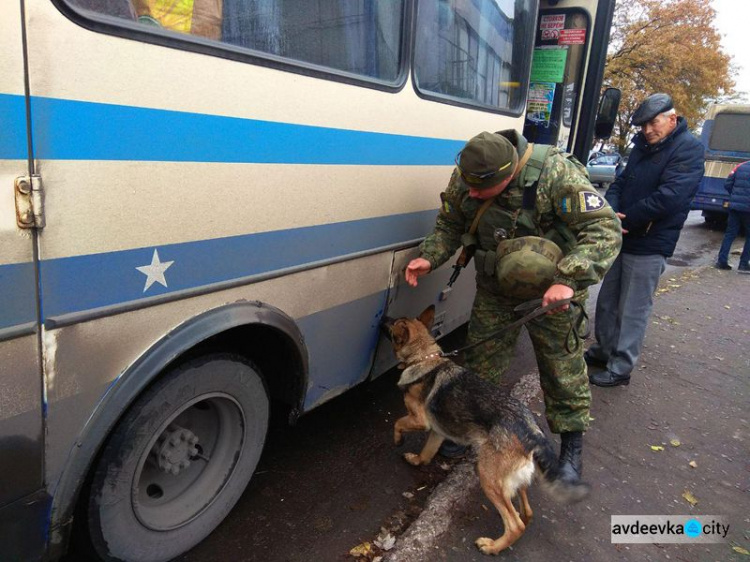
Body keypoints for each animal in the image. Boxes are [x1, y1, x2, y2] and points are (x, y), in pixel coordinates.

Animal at [384, 302, 592, 552]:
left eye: (393, 325)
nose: (383, 317)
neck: (424, 357)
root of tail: (533, 435)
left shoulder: (419, 420)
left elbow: (398, 422)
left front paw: (398, 439)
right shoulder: (437, 431)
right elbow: (427, 452)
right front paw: (417, 460)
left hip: (488, 477)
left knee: (515, 524)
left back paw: (492, 546)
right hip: (512, 480)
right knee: (526, 512)